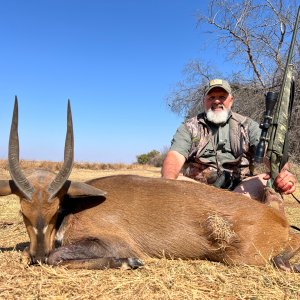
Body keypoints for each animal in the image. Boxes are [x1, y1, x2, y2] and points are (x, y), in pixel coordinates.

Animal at [0, 98, 300, 272]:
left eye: (54, 211)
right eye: (23, 213)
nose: (37, 255)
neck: (75, 209)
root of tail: (276, 216)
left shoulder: (116, 242)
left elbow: (58, 256)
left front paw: (128, 262)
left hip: (242, 255)